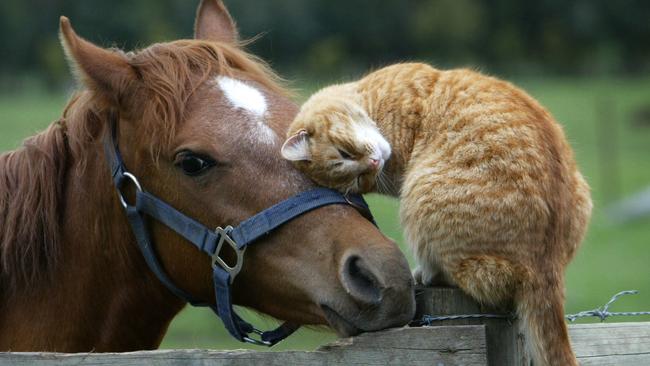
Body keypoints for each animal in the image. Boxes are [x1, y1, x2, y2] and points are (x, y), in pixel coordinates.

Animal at [280, 63, 588, 366]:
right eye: (357, 181)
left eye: (344, 153)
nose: (374, 164)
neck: (369, 98)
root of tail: (546, 269)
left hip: (420, 198)